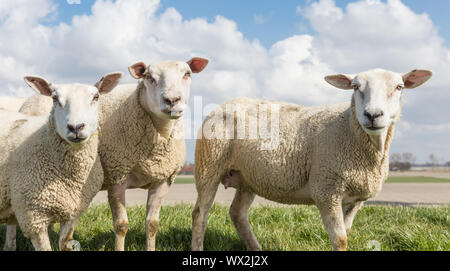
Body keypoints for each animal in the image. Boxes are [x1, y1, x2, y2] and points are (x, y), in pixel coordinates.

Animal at [0, 71, 122, 251]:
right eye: (55, 98)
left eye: (96, 97)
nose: (76, 127)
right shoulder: (33, 217)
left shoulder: (73, 212)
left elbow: (64, 242)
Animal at [16, 57, 209, 251]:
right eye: (148, 77)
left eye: (187, 74)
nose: (172, 100)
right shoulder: (117, 177)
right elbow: (121, 225)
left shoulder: (163, 180)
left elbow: (152, 224)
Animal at [192, 69, 432, 252]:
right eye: (355, 87)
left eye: (399, 87)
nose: (372, 115)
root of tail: (221, 105)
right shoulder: (326, 190)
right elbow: (340, 239)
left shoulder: (355, 199)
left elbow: (347, 233)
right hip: (209, 165)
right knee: (200, 214)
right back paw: (198, 248)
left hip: (248, 177)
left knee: (237, 213)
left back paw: (256, 248)